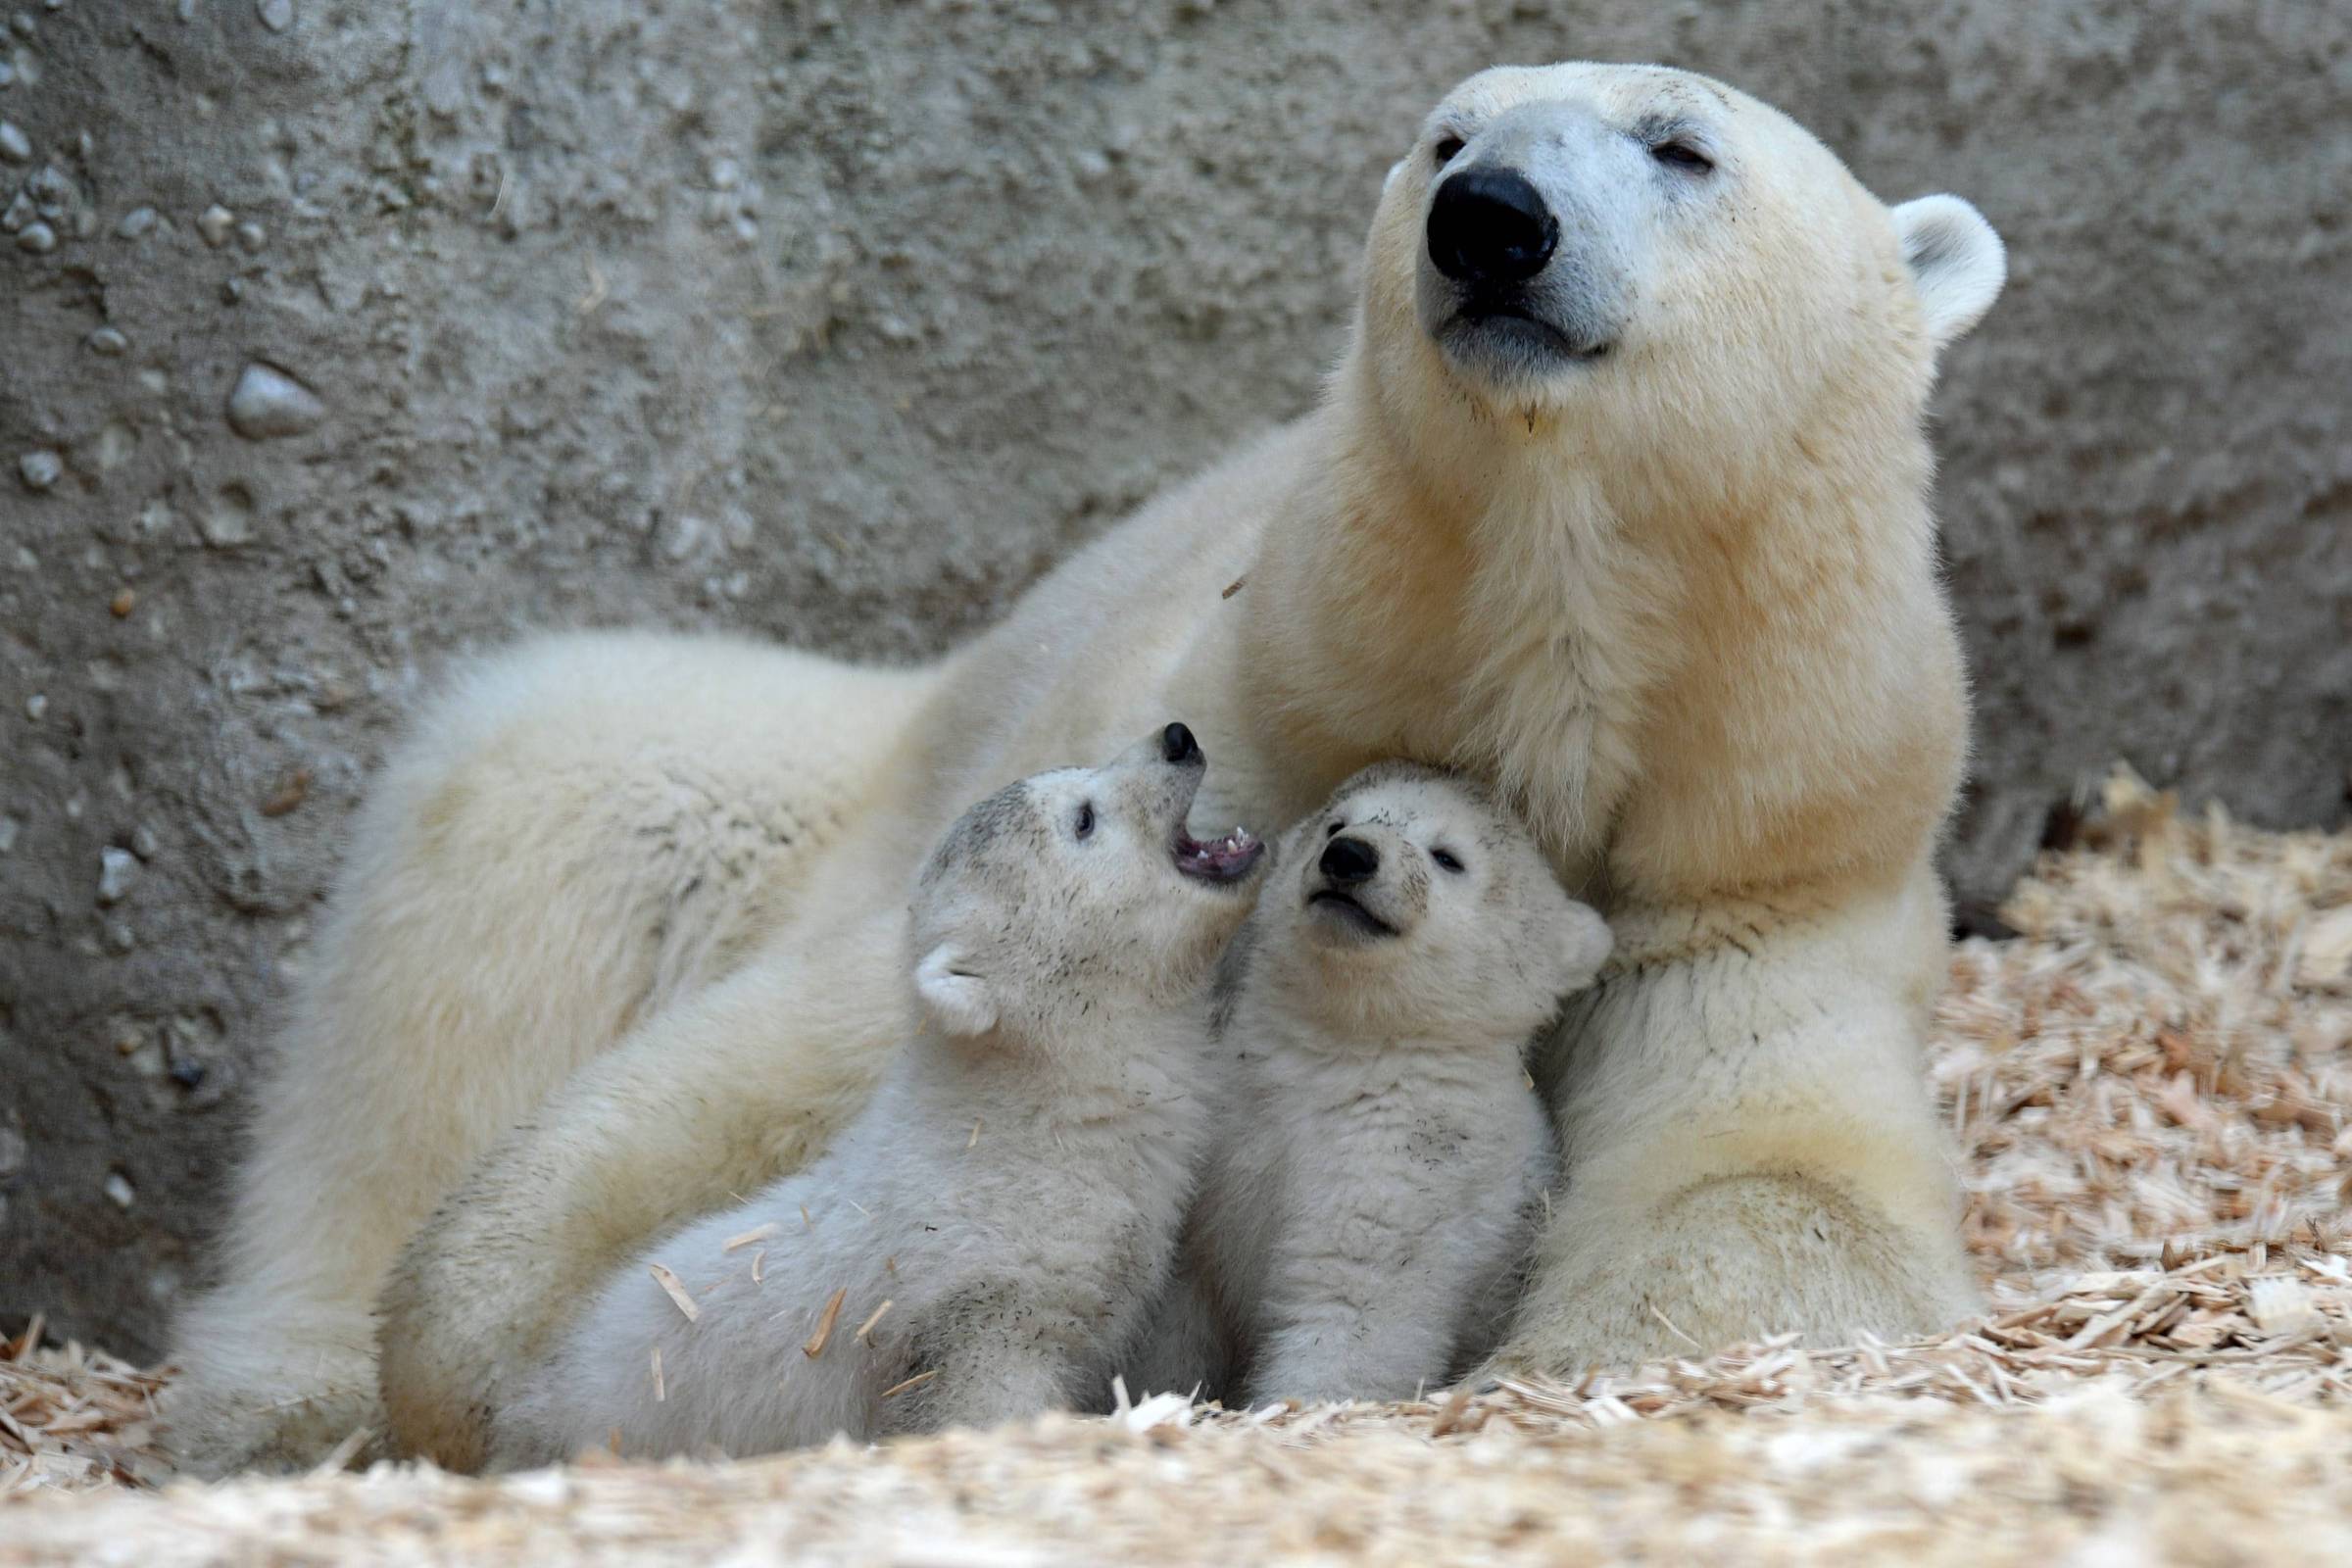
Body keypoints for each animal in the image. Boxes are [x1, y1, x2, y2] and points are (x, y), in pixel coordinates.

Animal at [166, 58, 2003, 1476]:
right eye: (1446, 135)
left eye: (1682, 146)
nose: (1491, 222)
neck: (1548, 672)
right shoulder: (1245, 719)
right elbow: (814, 1051)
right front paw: (474, 1354)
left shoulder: (1763, 866)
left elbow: (1772, 1193)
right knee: (514, 831)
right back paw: (282, 1384)